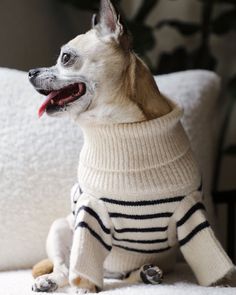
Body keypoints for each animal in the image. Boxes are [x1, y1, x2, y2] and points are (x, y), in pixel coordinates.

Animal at [28, 0, 235, 294]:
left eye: (65, 58)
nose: (31, 72)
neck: (122, 127)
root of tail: (110, 272)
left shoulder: (191, 211)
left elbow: (207, 252)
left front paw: (221, 282)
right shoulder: (91, 211)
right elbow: (82, 258)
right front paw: (84, 286)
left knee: (128, 275)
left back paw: (148, 273)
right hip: (59, 229)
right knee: (64, 267)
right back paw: (50, 280)